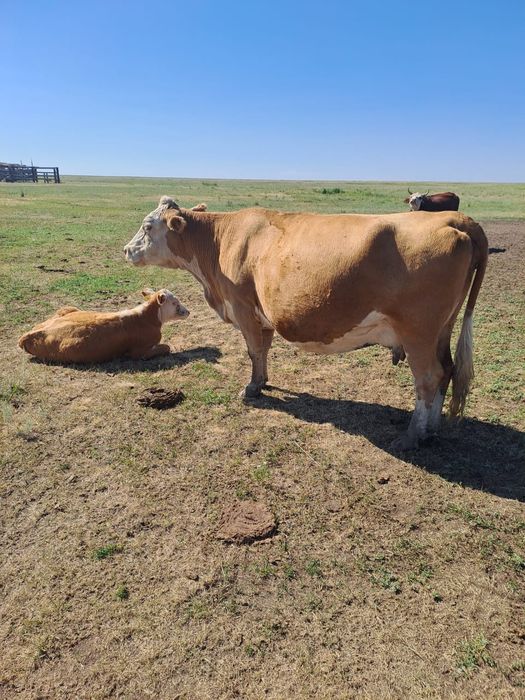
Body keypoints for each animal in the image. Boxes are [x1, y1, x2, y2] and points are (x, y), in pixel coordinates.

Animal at [18, 288, 189, 363]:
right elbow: (166, 347)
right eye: (175, 303)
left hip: (65, 308)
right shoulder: (139, 351)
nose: (188, 311)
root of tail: (27, 336)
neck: (146, 317)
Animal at [124, 197, 488, 449]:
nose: (127, 250)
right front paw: (262, 382)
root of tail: (455, 218)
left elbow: (253, 351)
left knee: (428, 378)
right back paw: (431, 430)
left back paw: (412, 436)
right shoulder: (262, 314)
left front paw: (251, 389)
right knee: (447, 370)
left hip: (418, 332)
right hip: (442, 329)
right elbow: (263, 352)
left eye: (147, 226)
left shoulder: (242, 307)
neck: (220, 241)